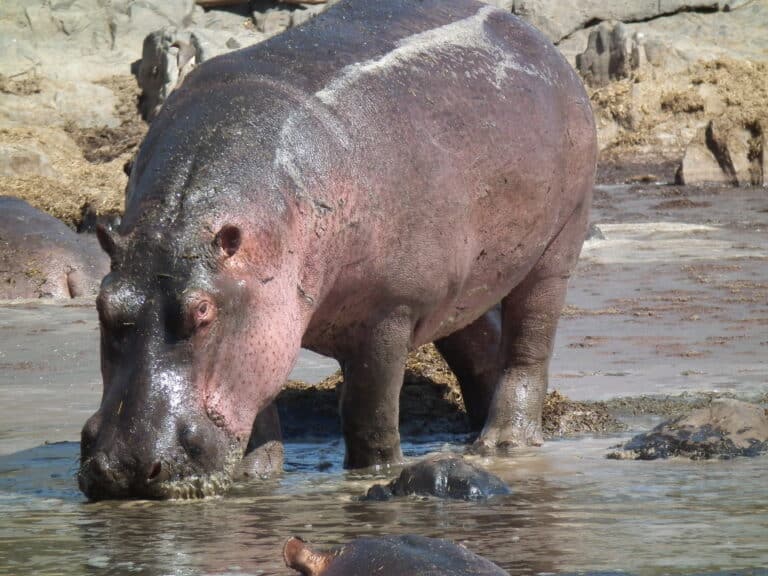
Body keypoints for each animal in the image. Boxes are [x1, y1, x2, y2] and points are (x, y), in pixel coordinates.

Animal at [78, 0, 596, 499]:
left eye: (202, 311)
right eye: (103, 304)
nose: (124, 467)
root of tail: (532, 37)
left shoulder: (388, 311)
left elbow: (369, 413)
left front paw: (374, 473)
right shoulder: (264, 322)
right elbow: (258, 411)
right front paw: (254, 480)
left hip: (556, 247)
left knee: (528, 347)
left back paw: (502, 443)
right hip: (464, 279)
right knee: (477, 342)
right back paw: (474, 435)